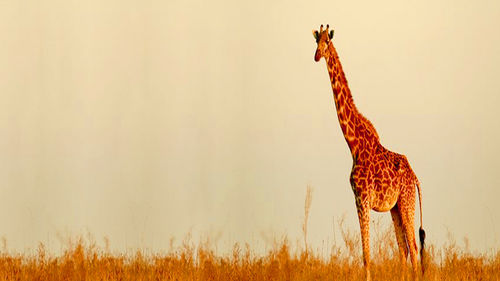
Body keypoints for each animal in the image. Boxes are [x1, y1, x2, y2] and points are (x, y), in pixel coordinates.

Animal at [312, 25, 426, 278]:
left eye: (327, 42)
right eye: (316, 42)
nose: (316, 56)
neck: (353, 145)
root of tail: (415, 178)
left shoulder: (362, 197)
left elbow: (366, 254)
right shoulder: (358, 199)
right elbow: (368, 252)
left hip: (407, 202)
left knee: (414, 248)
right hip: (396, 208)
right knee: (404, 249)